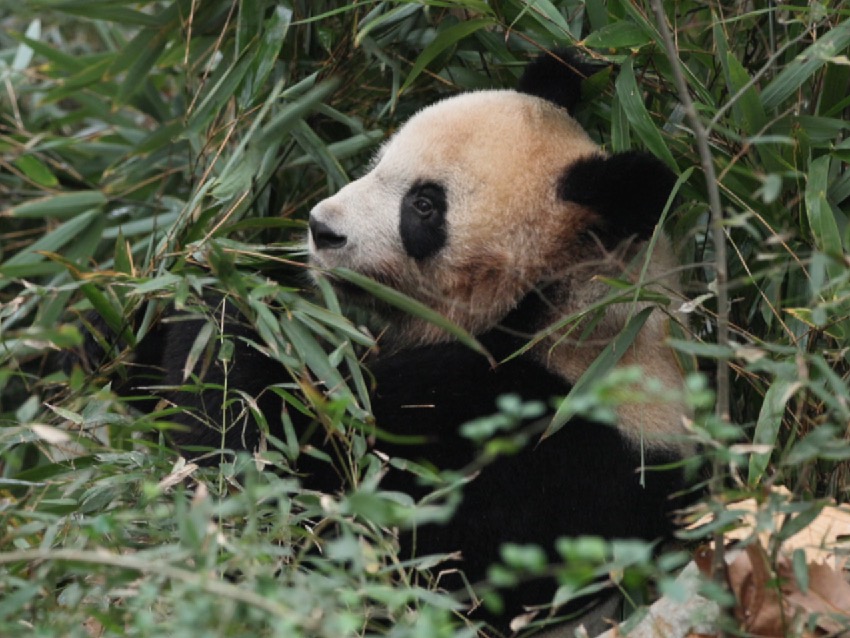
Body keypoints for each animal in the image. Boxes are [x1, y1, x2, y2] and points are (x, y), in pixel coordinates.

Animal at [77, 50, 693, 636]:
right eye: (378, 163)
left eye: (424, 205)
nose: (321, 229)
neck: (559, 302)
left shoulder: (524, 440)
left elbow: (292, 490)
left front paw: (228, 305)